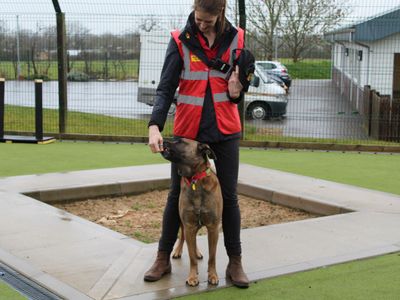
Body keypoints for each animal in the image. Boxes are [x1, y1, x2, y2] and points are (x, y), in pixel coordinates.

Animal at [162, 138, 225, 286]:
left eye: (180, 141)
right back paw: (178, 251)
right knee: (183, 237)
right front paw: (192, 276)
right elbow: (191, 257)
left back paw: (197, 252)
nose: (163, 141)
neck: (195, 179)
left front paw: (213, 275)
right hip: (182, 221)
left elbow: (212, 256)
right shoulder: (189, 225)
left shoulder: (213, 228)